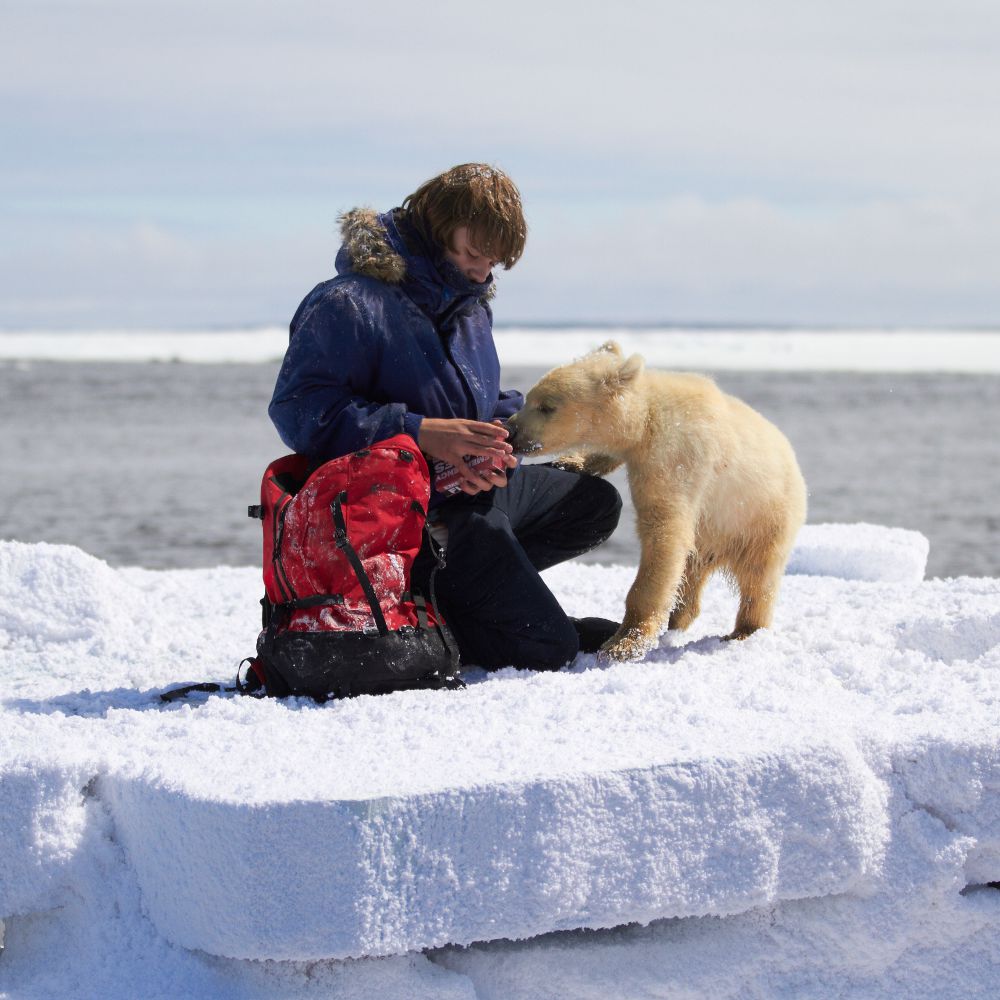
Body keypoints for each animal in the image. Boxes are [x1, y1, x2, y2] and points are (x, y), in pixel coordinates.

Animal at [504, 344, 808, 664]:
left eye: (547, 406)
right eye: (530, 398)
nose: (511, 431)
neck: (649, 417)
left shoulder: (675, 455)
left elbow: (663, 531)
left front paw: (624, 643)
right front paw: (570, 462)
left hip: (762, 517)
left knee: (758, 577)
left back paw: (744, 631)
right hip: (712, 533)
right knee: (692, 568)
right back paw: (678, 617)